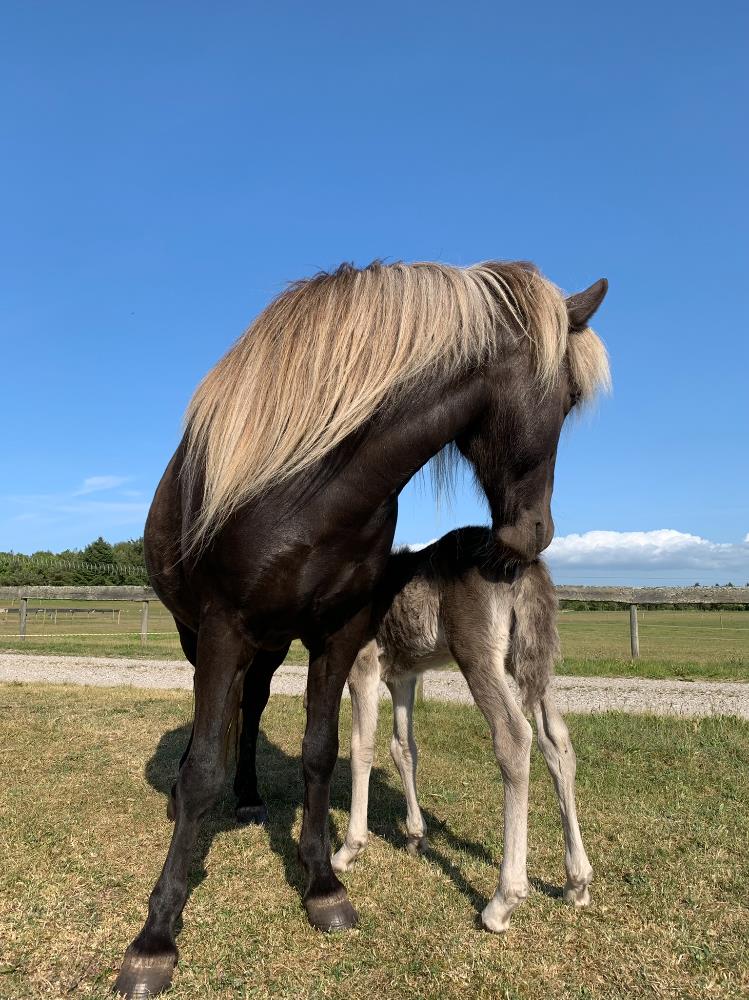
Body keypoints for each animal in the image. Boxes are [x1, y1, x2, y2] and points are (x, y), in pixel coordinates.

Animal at [330, 528, 592, 932]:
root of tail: (527, 564)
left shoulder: (363, 663)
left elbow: (362, 746)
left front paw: (348, 850)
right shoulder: (403, 676)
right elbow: (403, 747)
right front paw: (416, 836)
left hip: (477, 651)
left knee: (515, 736)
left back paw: (503, 901)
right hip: (526, 658)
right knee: (557, 741)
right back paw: (577, 881)